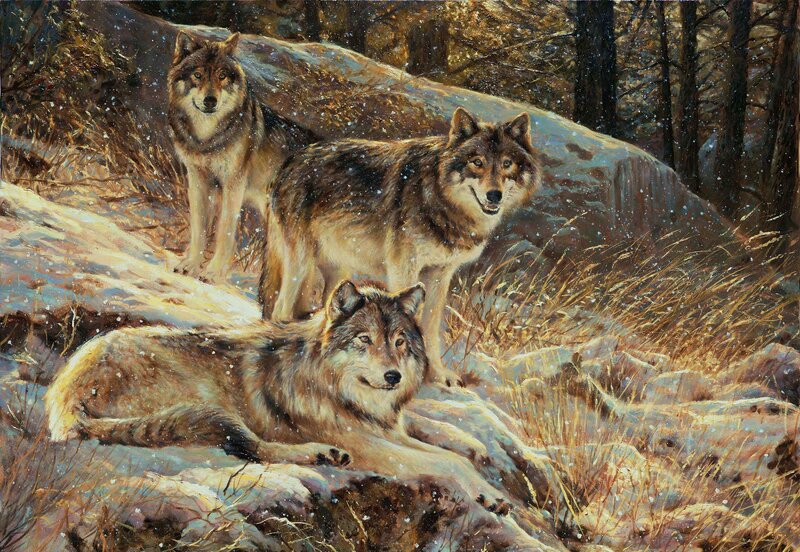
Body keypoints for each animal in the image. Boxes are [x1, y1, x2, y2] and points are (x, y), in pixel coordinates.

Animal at [45, 280, 512, 513]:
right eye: (365, 340)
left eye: (398, 342)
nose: (393, 376)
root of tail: (64, 394)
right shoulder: (369, 443)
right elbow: (445, 461)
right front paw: (490, 495)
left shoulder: (387, 424)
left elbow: (430, 427)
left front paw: (474, 444)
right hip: (202, 397)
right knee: (250, 446)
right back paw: (322, 453)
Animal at [168, 31, 314, 283]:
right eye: (197, 75)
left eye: (222, 76)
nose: (210, 100)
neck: (207, 139)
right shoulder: (197, 180)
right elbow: (199, 228)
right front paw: (191, 264)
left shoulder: (233, 185)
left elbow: (224, 232)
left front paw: (212, 272)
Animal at [259, 108, 541, 386]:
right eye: (477, 162)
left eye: (507, 164)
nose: (495, 195)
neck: (439, 199)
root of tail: (291, 160)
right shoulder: (404, 269)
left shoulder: (440, 274)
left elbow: (431, 327)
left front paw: (437, 375)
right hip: (299, 265)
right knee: (280, 309)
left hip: (338, 273)